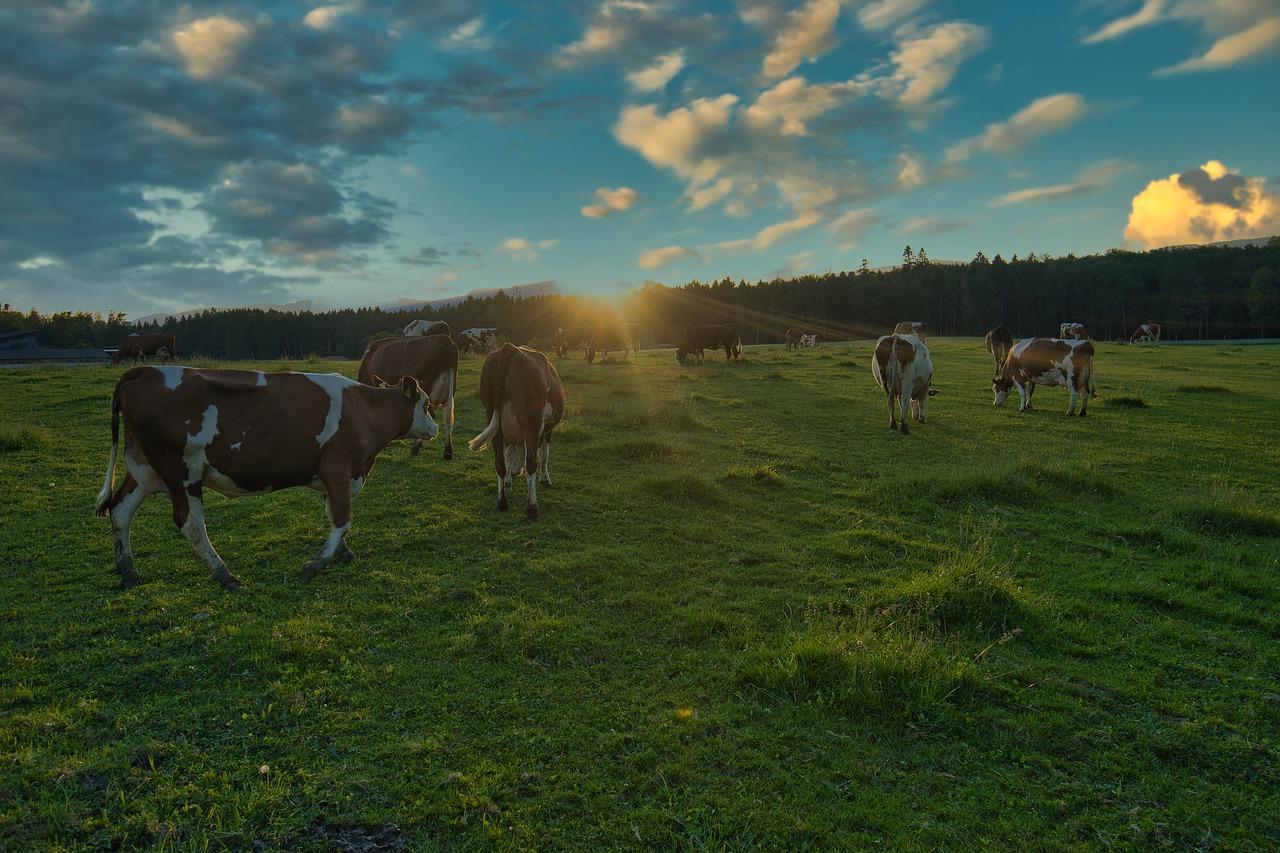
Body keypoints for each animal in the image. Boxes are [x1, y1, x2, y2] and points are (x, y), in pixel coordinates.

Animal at [92, 361, 437, 589]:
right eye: (427, 404)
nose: (434, 428)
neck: (364, 410)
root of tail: (144, 370)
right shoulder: (337, 468)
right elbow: (342, 519)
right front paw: (316, 564)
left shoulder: (333, 477)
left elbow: (332, 515)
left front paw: (343, 553)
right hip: (180, 470)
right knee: (190, 522)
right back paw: (225, 575)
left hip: (145, 468)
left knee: (120, 510)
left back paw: (128, 571)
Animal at [360, 330, 460, 458]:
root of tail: (444, 338)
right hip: (450, 392)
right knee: (448, 418)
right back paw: (447, 452)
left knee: (431, 414)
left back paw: (416, 446)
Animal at [468, 343, 563, 517]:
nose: (515, 472)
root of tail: (508, 348)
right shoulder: (546, 430)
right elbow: (544, 455)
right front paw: (545, 480)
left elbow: (508, 455)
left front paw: (508, 483)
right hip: (531, 421)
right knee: (531, 461)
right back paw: (532, 508)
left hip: (493, 417)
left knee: (499, 461)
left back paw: (502, 502)